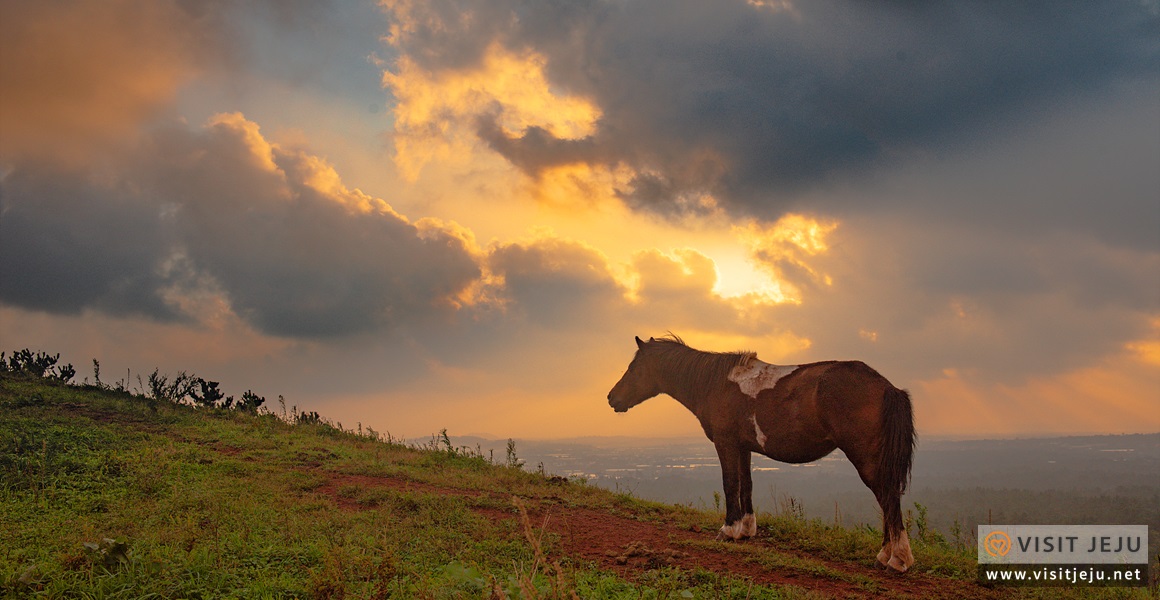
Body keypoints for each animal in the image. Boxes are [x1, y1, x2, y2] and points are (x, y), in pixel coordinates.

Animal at [607, 331, 914, 570]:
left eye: (633, 368)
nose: (611, 398)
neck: (715, 383)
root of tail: (886, 387)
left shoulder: (725, 444)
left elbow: (730, 484)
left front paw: (728, 530)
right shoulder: (744, 448)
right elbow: (747, 485)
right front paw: (746, 530)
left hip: (866, 458)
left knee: (888, 498)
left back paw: (897, 559)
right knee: (887, 500)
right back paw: (884, 555)